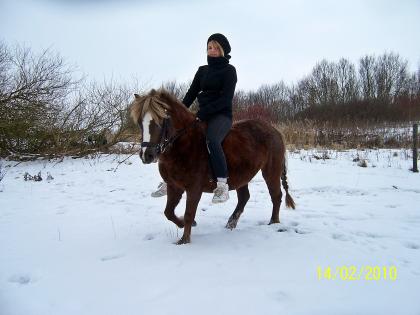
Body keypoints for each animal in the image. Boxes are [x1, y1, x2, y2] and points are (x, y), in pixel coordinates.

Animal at [130, 87, 294, 246]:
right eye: (139, 122)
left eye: (161, 120)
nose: (147, 155)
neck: (185, 144)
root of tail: (274, 130)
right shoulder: (173, 186)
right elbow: (168, 212)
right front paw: (184, 224)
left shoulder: (194, 188)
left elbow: (189, 213)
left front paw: (184, 240)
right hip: (242, 174)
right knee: (244, 197)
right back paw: (231, 223)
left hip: (270, 172)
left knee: (276, 195)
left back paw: (273, 222)